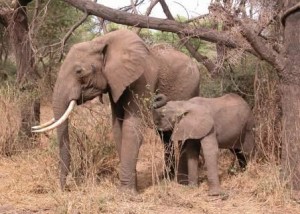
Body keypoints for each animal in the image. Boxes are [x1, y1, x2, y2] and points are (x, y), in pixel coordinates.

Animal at [32, 28, 199, 192]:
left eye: (79, 71)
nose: (64, 189)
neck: (100, 41)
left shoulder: (143, 78)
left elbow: (132, 127)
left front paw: (126, 193)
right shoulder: (115, 83)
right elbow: (118, 127)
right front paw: (131, 187)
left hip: (191, 90)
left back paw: (182, 182)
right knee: (165, 136)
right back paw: (167, 177)